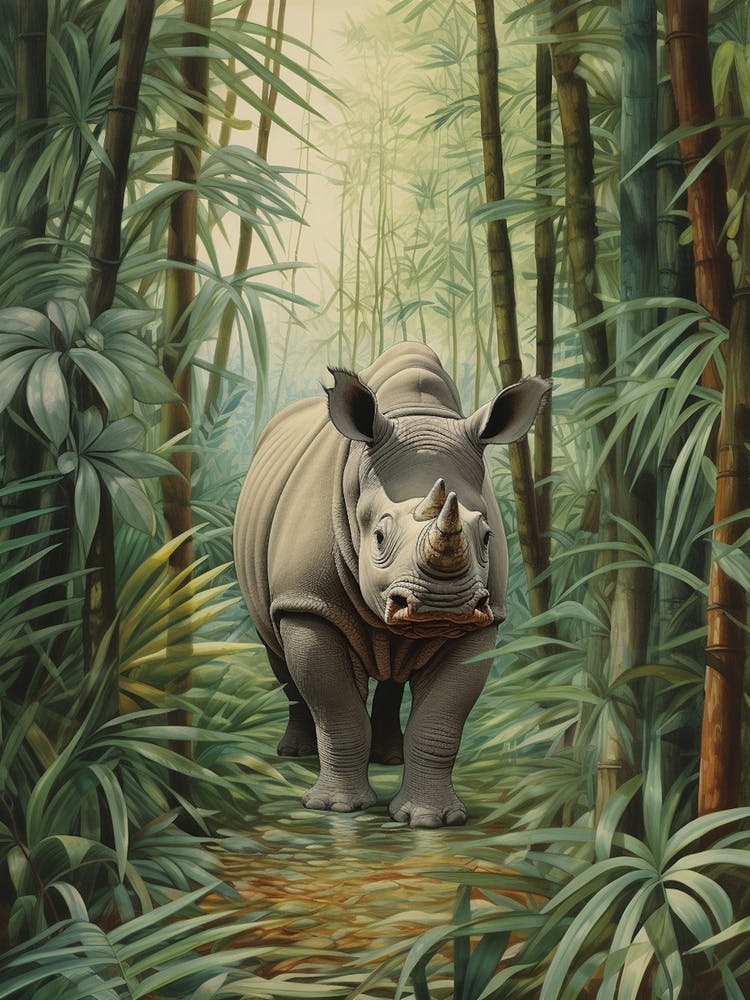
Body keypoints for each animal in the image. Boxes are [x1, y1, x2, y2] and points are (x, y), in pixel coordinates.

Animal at [233, 342, 550, 827]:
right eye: (379, 536)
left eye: (487, 537)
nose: (443, 605)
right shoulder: (307, 602)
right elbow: (336, 710)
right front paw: (336, 809)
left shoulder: (483, 620)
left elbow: (441, 720)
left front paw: (431, 819)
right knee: (275, 646)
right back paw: (294, 754)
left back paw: (390, 758)